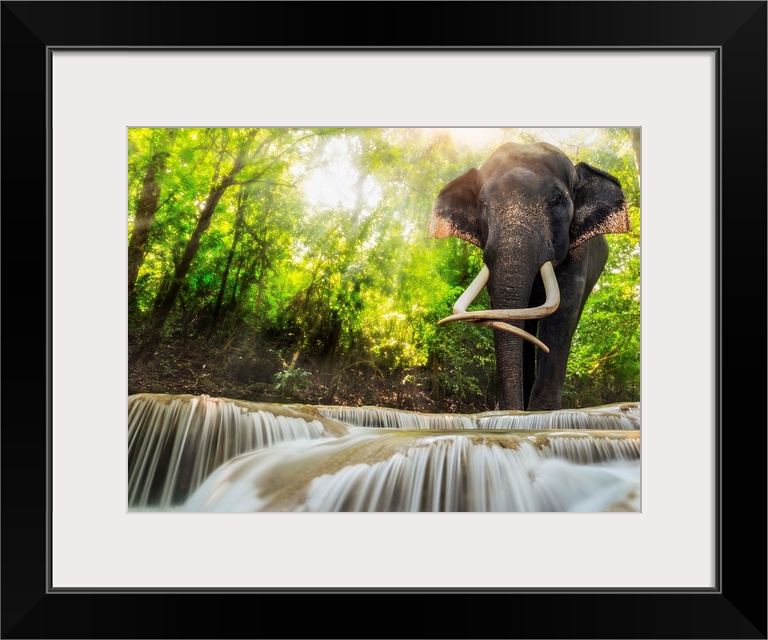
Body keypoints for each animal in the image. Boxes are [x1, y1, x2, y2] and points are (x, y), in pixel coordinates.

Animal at [426, 141, 632, 410]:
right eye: (483, 204)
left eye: (557, 200)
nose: (506, 409)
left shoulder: (578, 250)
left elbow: (563, 310)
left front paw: (543, 413)